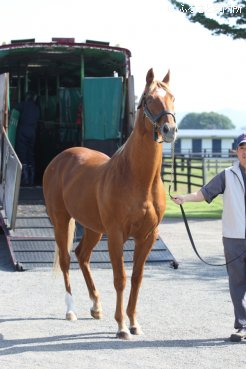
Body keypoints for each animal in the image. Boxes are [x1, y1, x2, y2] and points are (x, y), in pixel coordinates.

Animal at [42, 67, 177, 338]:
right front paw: (122, 326)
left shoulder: (147, 236)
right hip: (61, 220)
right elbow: (120, 278)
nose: (169, 129)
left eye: (172, 97)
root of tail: (59, 160)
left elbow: (136, 278)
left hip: (93, 228)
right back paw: (70, 310)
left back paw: (96, 306)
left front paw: (134, 323)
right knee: (66, 260)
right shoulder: (116, 235)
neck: (137, 178)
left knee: (82, 255)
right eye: (148, 99)